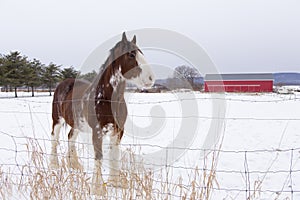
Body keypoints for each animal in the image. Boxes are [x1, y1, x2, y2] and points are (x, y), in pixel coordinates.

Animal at [49, 32, 155, 194]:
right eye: (131, 55)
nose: (151, 79)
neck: (107, 98)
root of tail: (63, 83)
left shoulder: (118, 130)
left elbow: (114, 155)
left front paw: (115, 183)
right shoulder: (97, 130)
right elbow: (99, 156)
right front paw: (97, 188)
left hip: (76, 124)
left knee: (70, 138)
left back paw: (75, 165)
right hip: (57, 120)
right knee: (54, 139)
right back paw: (54, 165)